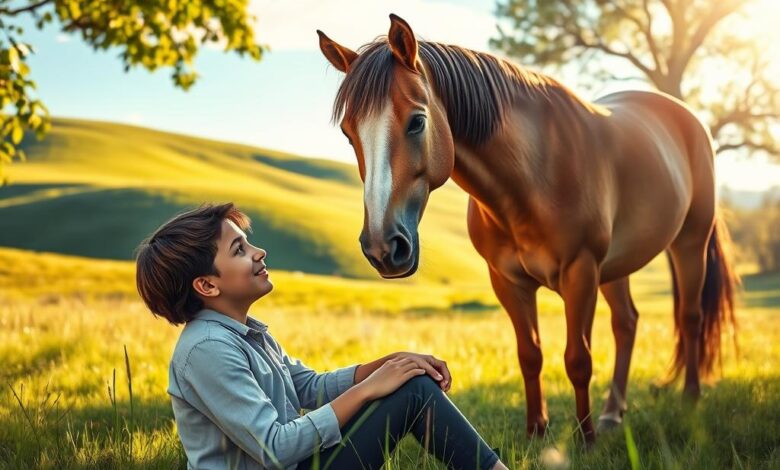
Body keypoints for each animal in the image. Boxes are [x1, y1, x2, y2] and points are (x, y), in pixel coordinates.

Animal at [316, 13, 736, 440]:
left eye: (417, 122)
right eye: (349, 135)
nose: (384, 248)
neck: (534, 174)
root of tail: (686, 115)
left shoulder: (580, 272)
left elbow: (578, 359)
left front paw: (585, 438)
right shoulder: (508, 281)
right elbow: (530, 354)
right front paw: (537, 430)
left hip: (689, 243)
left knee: (690, 317)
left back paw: (689, 400)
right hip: (616, 265)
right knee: (627, 323)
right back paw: (612, 413)